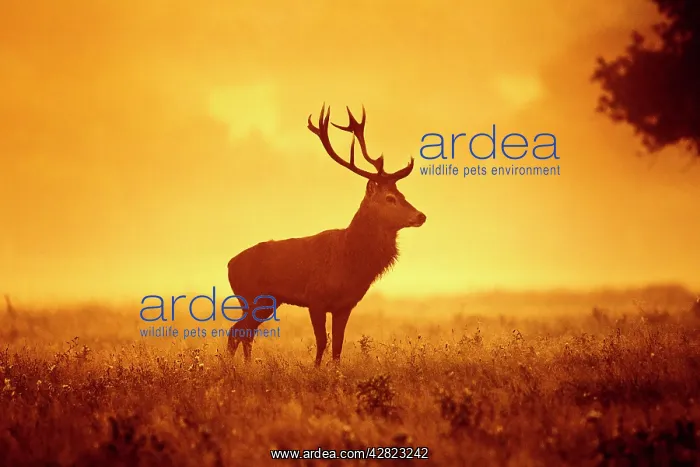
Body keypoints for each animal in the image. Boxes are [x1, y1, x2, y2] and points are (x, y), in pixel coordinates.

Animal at [226, 104, 426, 366]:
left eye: (402, 194)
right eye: (390, 198)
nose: (421, 216)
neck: (350, 261)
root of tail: (229, 265)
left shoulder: (345, 305)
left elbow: (338, 346)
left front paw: (335, 370)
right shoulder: (316, 299)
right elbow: (322, 341)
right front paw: (316, 369)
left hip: (266, 303)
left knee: (245, 334)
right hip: (250, 297)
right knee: (236, 332)